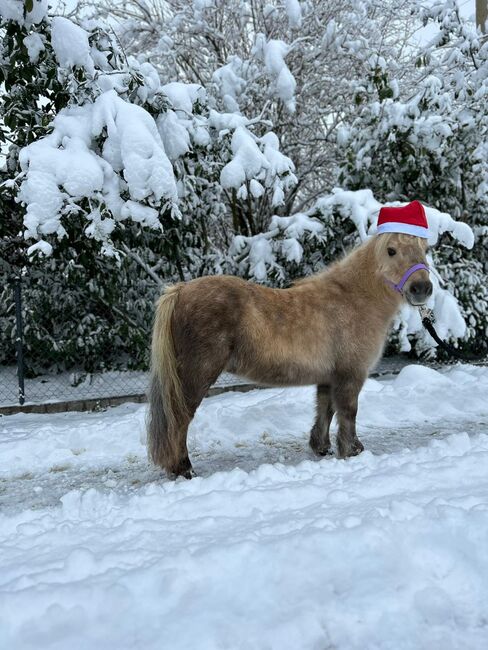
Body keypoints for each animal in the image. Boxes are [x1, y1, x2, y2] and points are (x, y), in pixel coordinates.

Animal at [146, 233, 430, 476]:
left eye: (425, 249)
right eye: (391, 250)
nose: (422, 288)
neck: (354, 299)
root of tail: (180, 290)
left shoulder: (330, 377)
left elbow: (326, 409)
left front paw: (322, 447)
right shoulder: (351, 374)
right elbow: (348, 412)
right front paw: (352, 451)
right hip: (197, 376)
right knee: (179, 419)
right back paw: (184, 468)